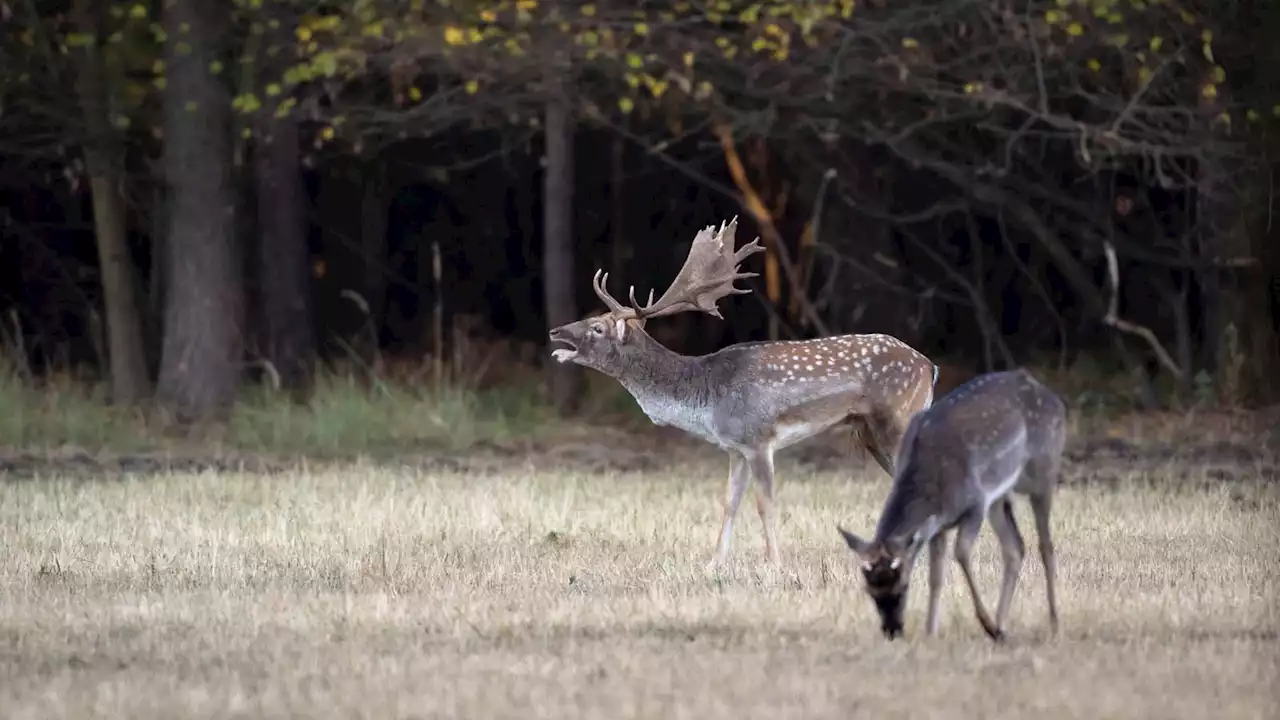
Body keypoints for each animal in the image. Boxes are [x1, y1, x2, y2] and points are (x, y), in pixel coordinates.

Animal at [550, 215, 942, 563]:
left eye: (598, 328)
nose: (555, 331)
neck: (705, 398)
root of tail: (930, 366)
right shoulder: (734, 447)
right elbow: (729, 503)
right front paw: (714, 564)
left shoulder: (757, 439)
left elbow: (764, 504)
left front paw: (777, 566)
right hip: (872, 431)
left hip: (899, 418)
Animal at [834, 368, 1064, 638]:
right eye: (869, 591)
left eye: (903, 585)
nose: (892, 630)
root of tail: (1053, 398)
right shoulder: (937, 525)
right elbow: (936, 576)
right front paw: (930, 632)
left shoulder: (975, 503)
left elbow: (961, 553)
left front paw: (986, 624)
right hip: (999, 498)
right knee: (1014, 548)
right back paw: (1002, 625)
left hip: (1043, 468)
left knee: (1045, 545)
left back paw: (1052, 624)